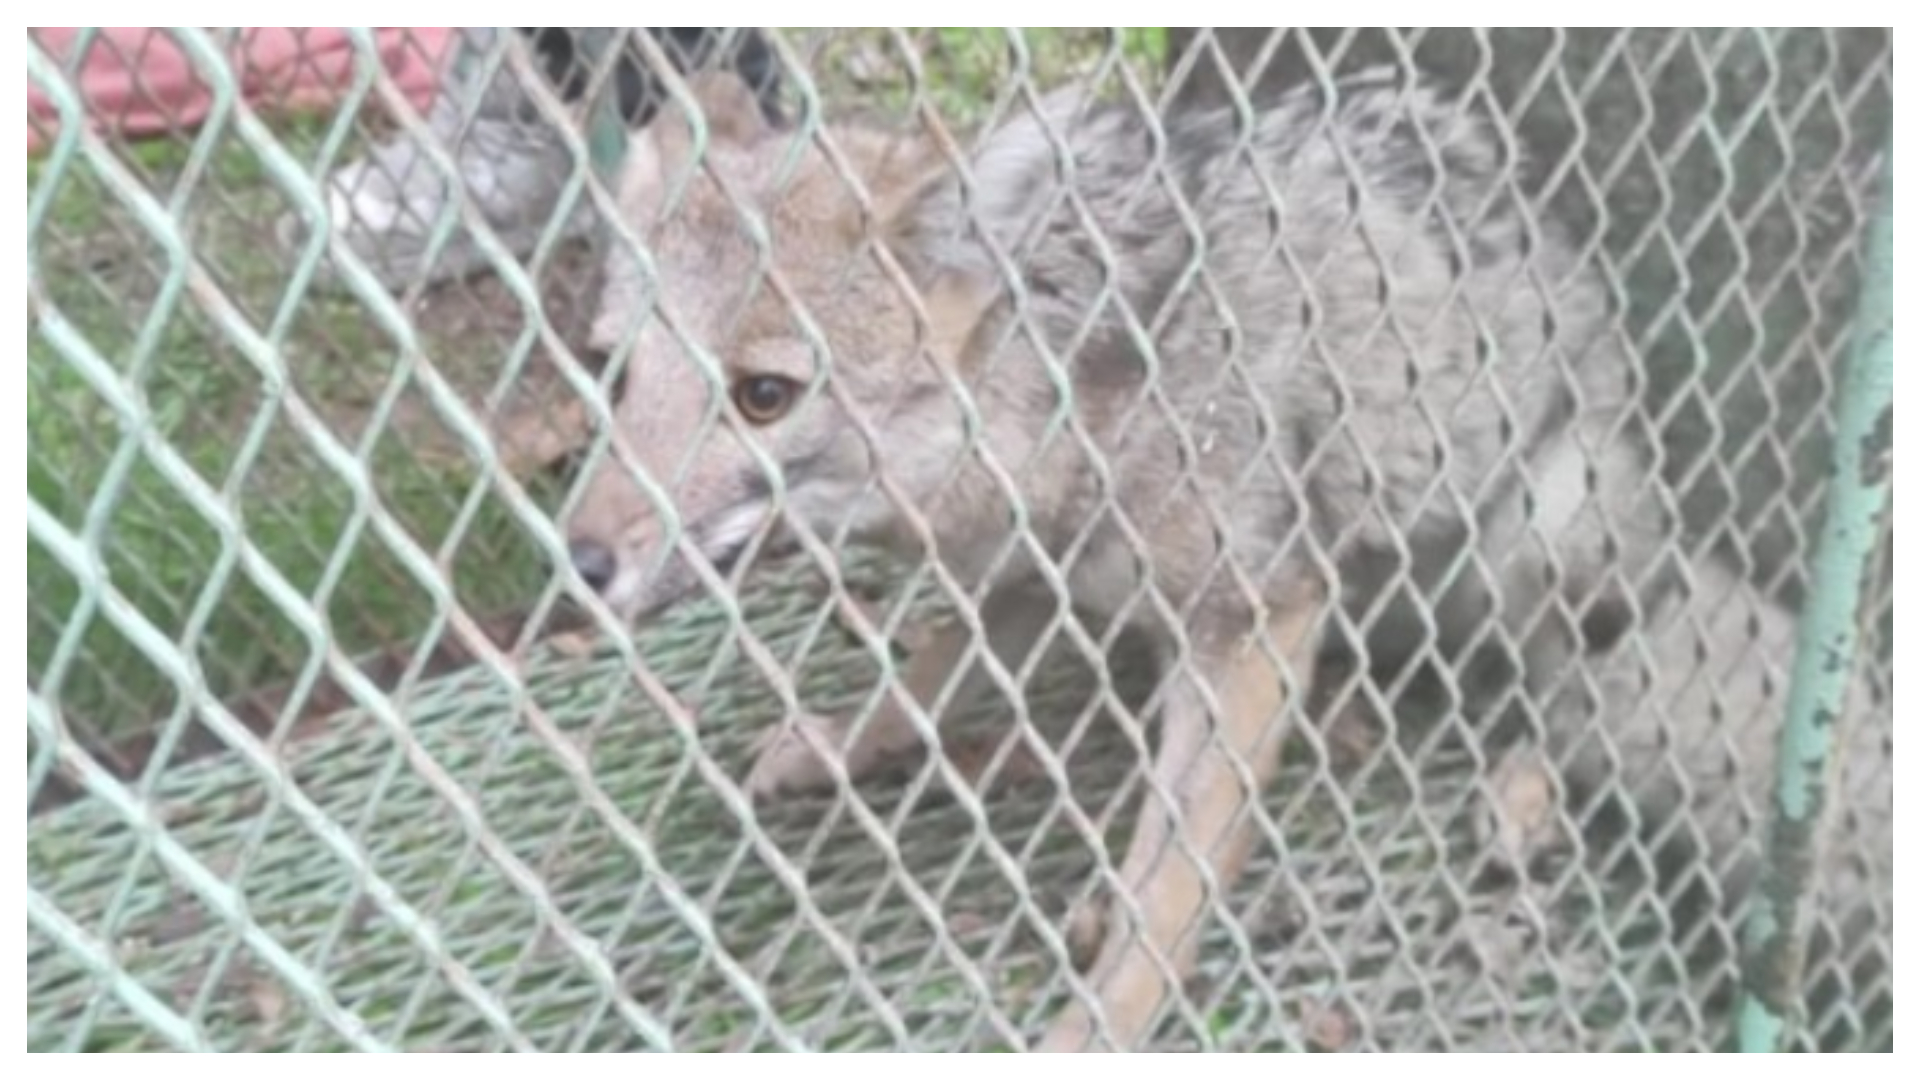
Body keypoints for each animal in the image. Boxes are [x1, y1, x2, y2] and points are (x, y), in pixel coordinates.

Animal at [564, 71, 1889, 1045]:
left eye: (764, 395)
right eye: (612, 373)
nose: (578, 562)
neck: (1070, 386)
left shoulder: (1250, 617)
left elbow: (1172, 880)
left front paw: (1103, 1027)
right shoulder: (1033, 573)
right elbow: (927, 677)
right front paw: (844, 745)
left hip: (1541, 534)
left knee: (1561, 686)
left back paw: (1520, 789)